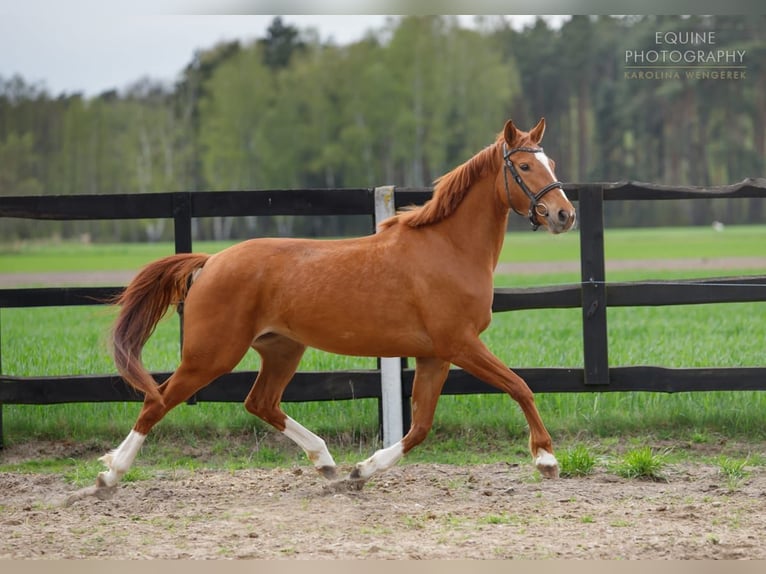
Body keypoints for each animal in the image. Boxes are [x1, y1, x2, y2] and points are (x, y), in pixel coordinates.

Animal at [75, 117, 576, 501]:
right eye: (524, 165)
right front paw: (546, 458)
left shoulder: (434, 354)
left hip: (281, 349)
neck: (447, 249)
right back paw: (108, 475)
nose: (564, 215)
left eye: (552, 163)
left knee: (260, 402)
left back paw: (328, 464)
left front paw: (361, 471)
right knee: (157, 401)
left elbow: (420, 427)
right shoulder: (461, 344)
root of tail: (211, 261)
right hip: (210, 355)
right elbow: (520, 386)